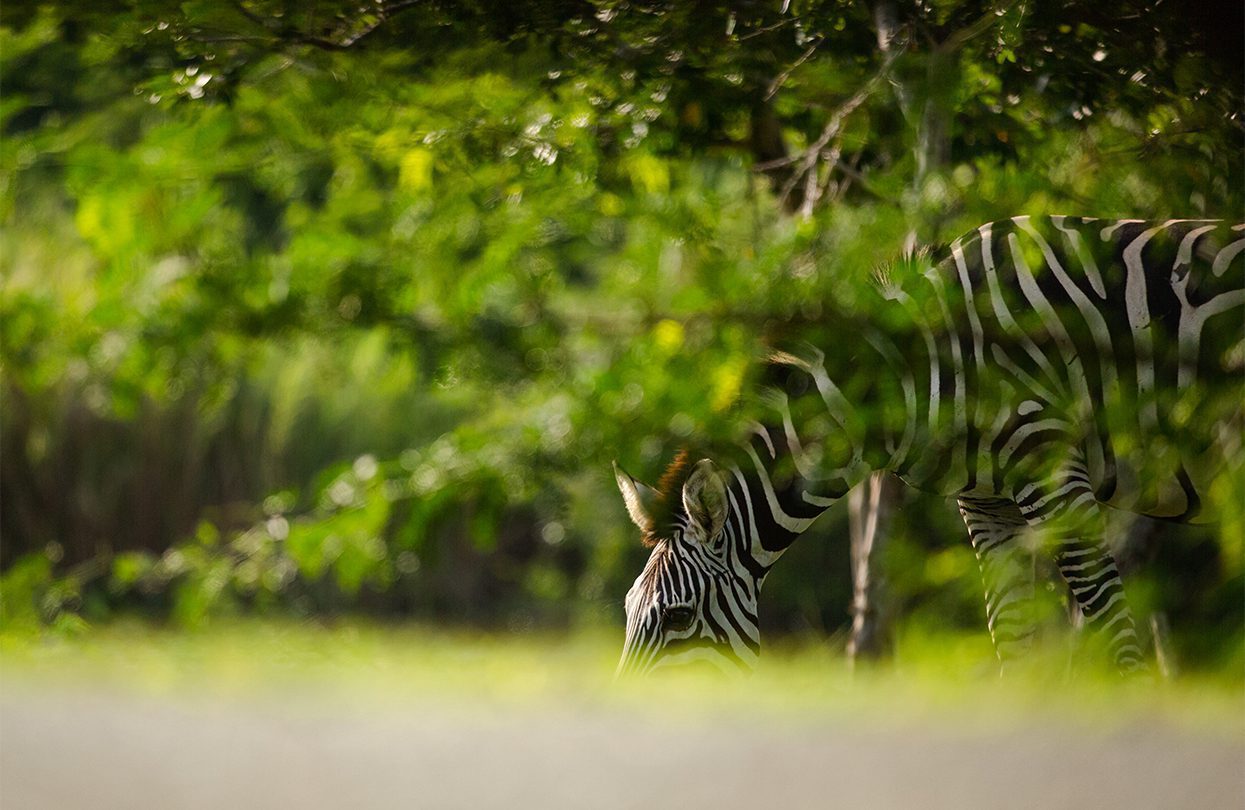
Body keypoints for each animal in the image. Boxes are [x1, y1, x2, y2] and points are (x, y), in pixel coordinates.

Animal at [615, 215, 1245, 676]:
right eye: (626, 612)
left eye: (677, 618)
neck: (918, 370)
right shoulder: (989, 503)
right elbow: (1009, 638)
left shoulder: (1054, 473)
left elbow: (1114, 637)